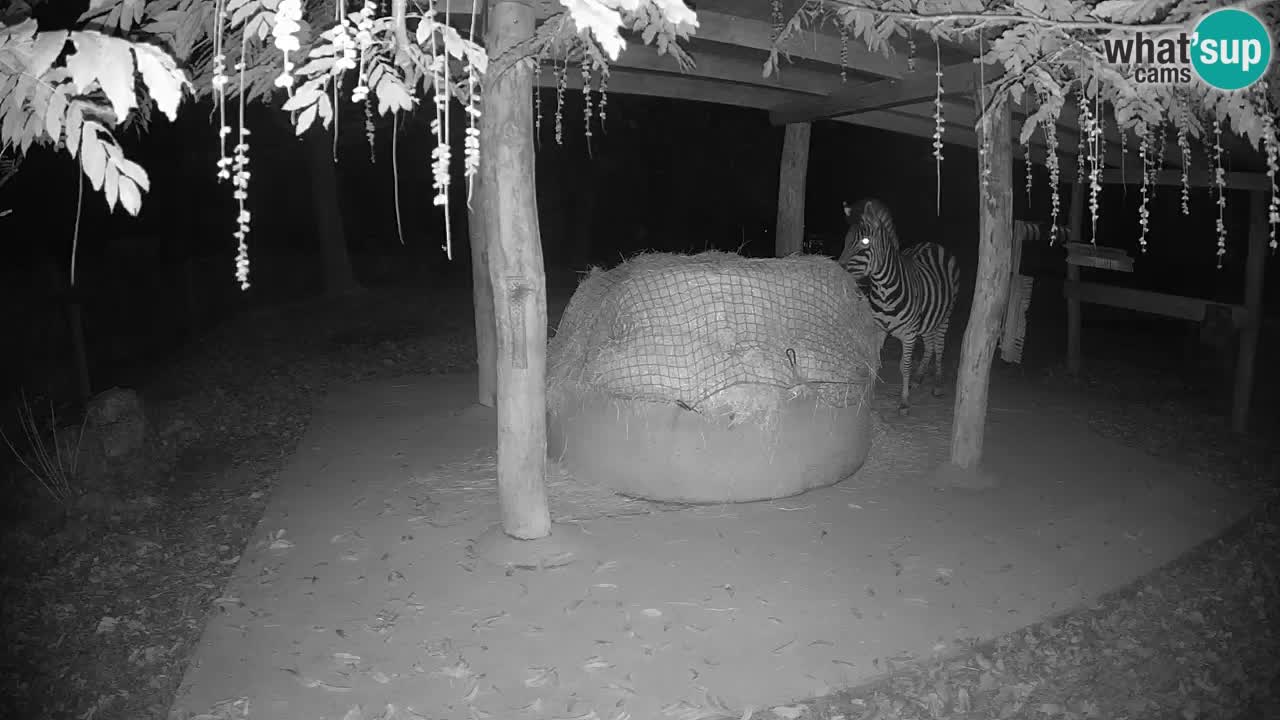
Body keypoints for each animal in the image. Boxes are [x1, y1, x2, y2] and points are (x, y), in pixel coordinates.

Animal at [839, 197, 962, 415]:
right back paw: (918, 378)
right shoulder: (879, 330)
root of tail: (933, 243)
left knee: (939, 347)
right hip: (927, 320)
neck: (883, 290)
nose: (838, 270)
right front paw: (870, 395)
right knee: (930, 344)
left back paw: (937, 385)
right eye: (846, 240)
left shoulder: (909, 334)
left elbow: (904, 366)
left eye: (865, 242)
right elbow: (875, 361)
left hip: (944, 316)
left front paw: (904, 401)